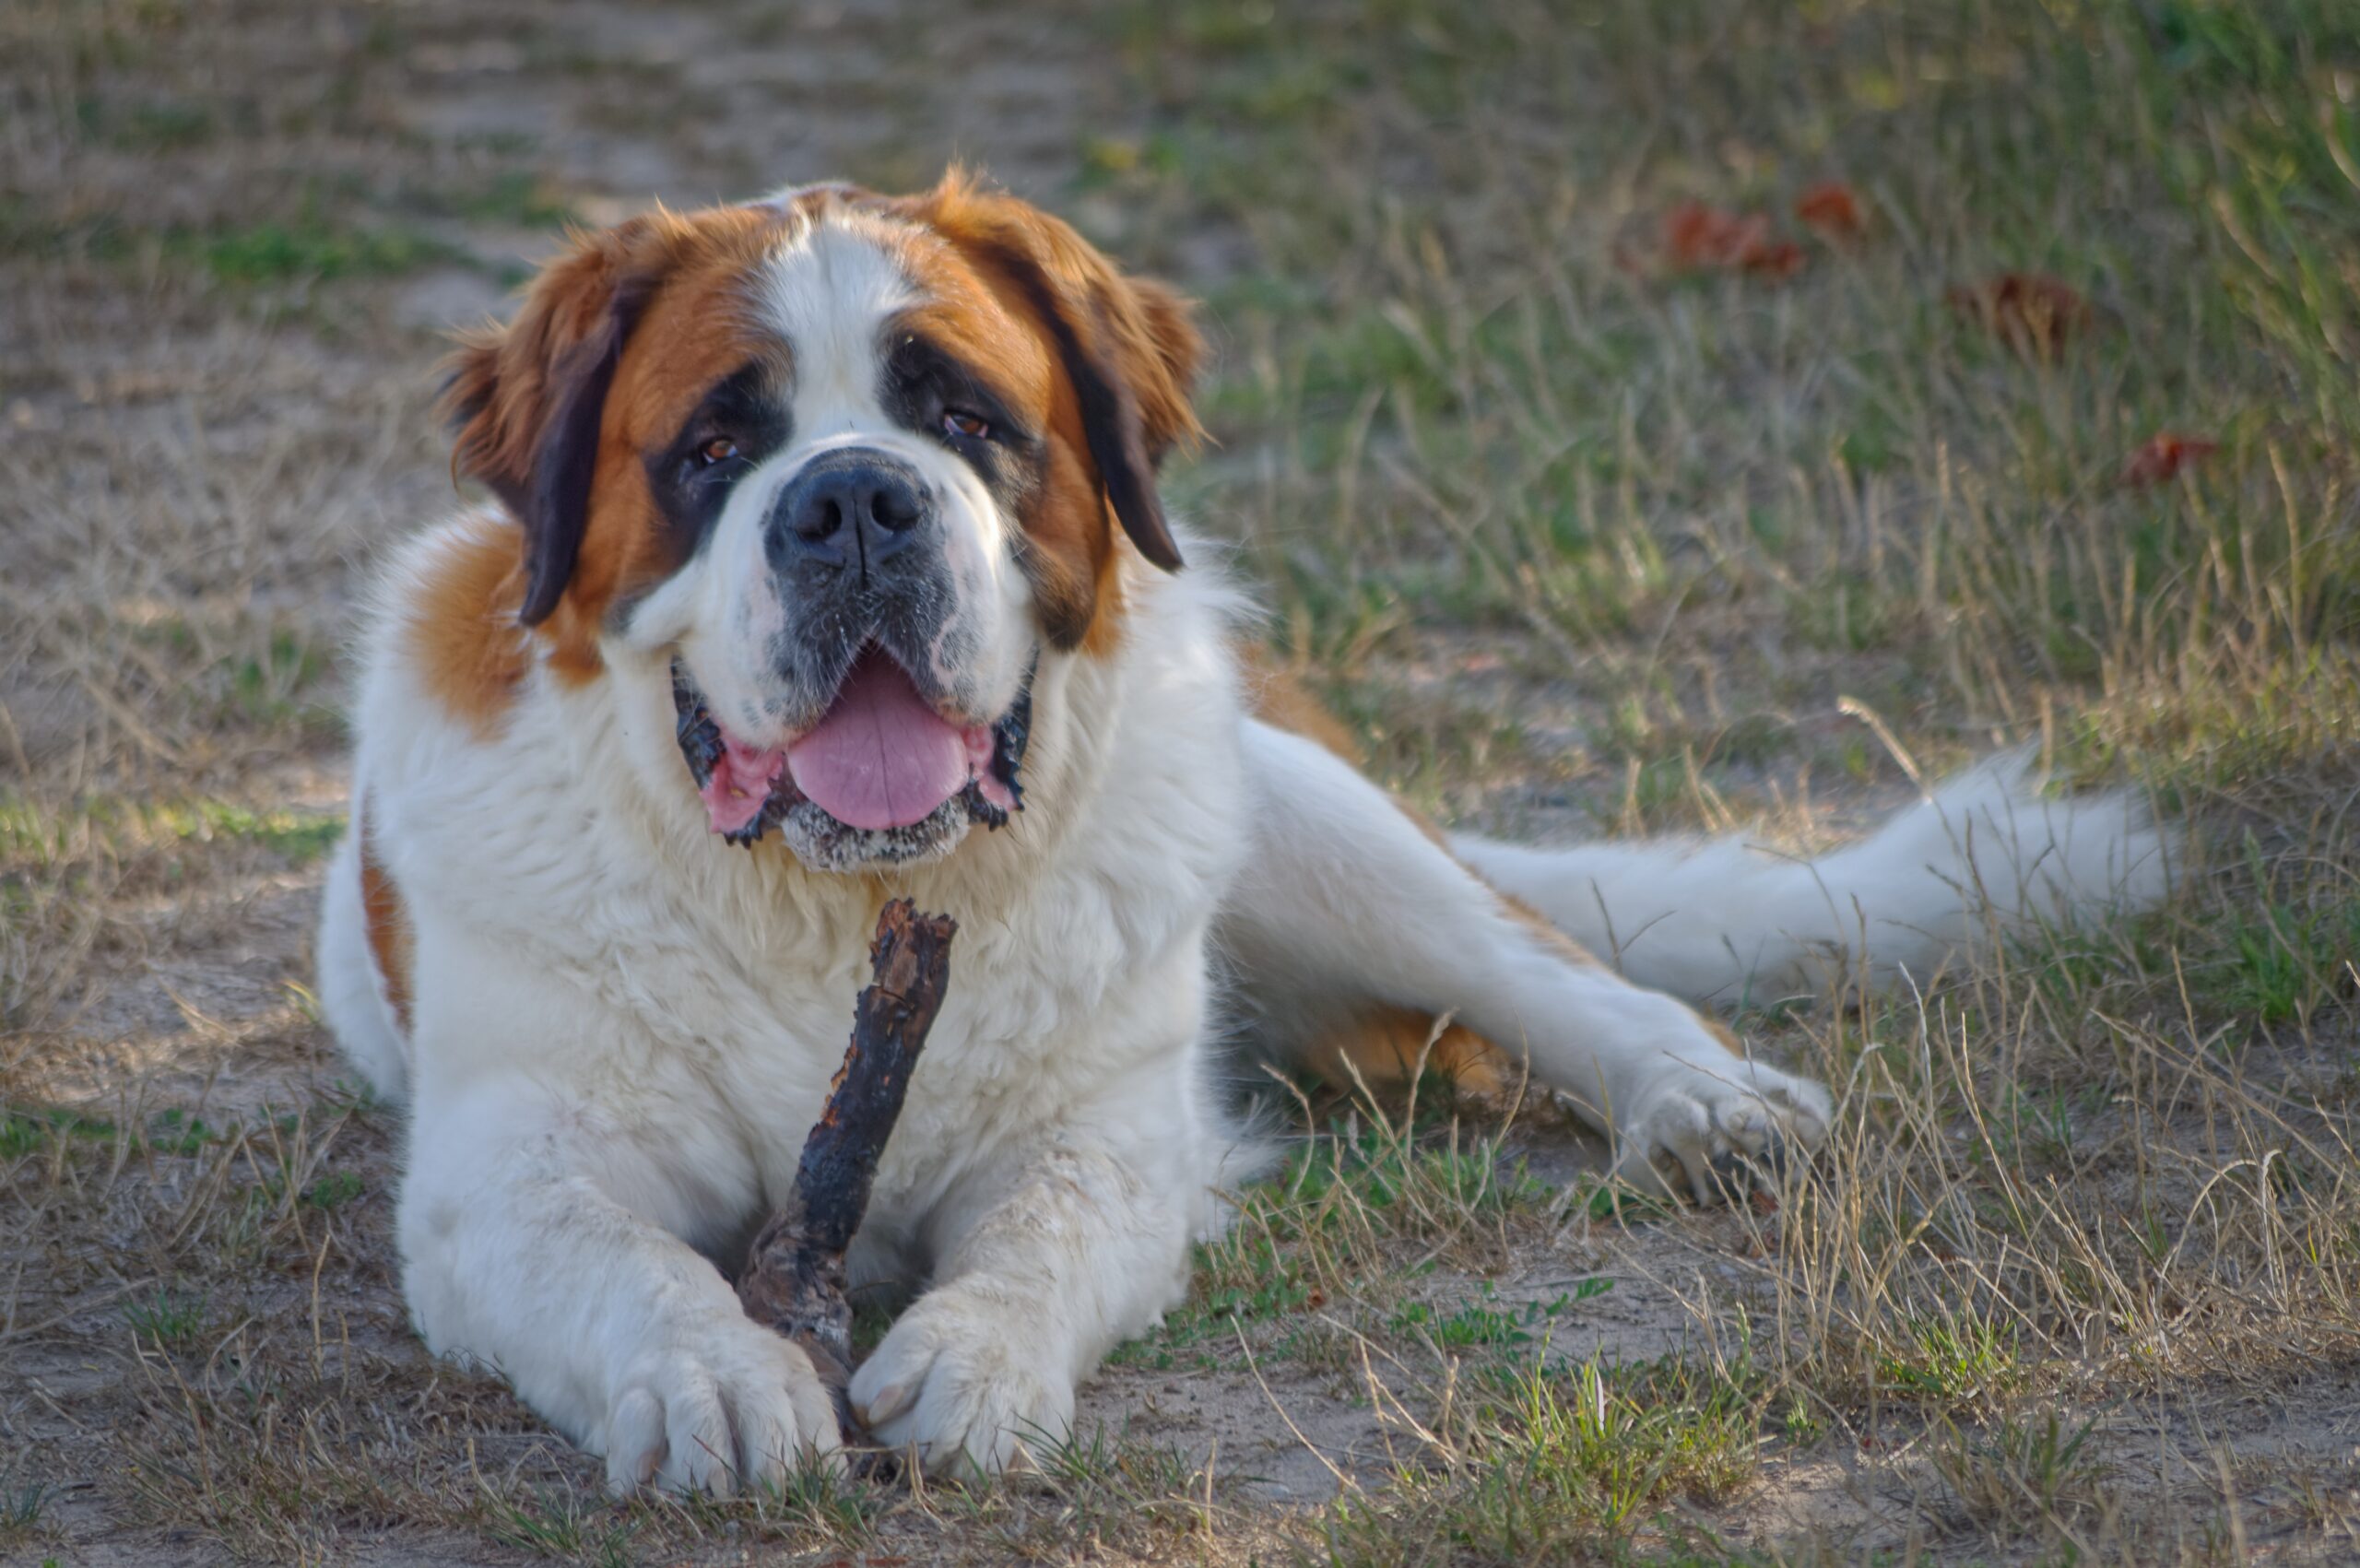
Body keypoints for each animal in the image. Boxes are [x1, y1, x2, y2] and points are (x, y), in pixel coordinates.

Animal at [318, 171, 2171, 1492]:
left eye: (968, 419)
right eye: (715, 444)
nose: (855, 501)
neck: (829, 911)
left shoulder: (1117, 1131)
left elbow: (1056, 1217)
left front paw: (978, 1365)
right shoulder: (506, 1168)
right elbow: (615, 1256)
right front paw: (712, 1370)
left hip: (1296, 804)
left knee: (1537, 958)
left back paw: (1702, 1097)